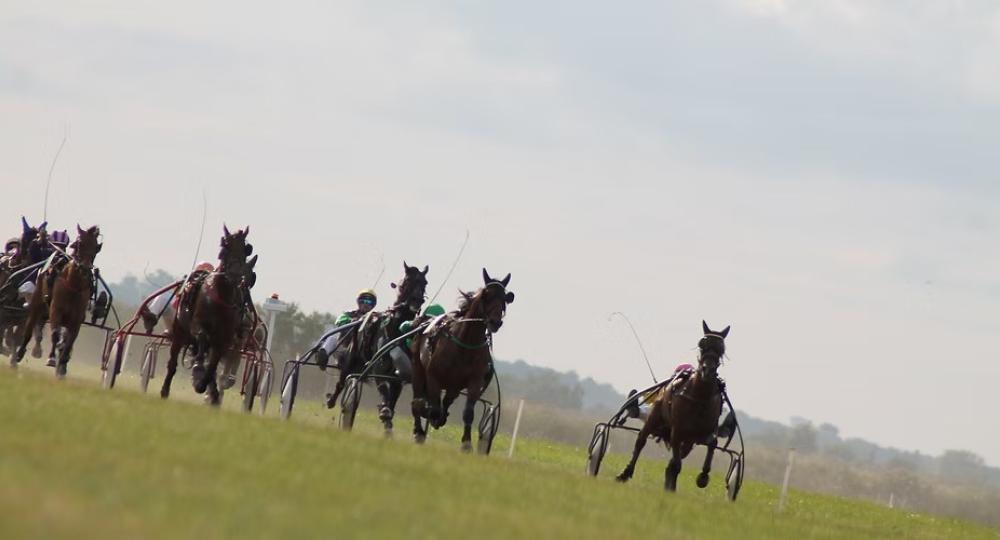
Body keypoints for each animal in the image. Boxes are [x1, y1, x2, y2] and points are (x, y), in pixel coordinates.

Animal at [11, 224, 102, 376]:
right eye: (79, 244)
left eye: (96, 247)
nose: (84, 268)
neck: (73, 285)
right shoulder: (56, 310)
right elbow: (54, 334)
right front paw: (52, 359)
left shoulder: (77, 318)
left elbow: (70, 340)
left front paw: (63, 364)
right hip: (37, 303)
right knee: (29, 326)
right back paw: (18, 354)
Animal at [324, 262, 426, 434]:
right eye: (407, 281)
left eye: (424, 283)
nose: (417, 300)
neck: (396, 331)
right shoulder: (379, 369)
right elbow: (384, 392)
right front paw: (384, 413)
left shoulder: (399, 376)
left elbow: (393, 400)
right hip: (350, 360)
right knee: (341, 382)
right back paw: (331, 401)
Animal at [410, 268, 516, 452]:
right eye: (486, 295)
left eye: (505, 298)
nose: (495, 322)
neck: (465, 344)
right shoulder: (433, 376)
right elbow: (431, 408)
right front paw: (428, 421)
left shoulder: (474, 381)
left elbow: (468, 413)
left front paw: (466, 444)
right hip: (418, 370)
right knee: (417, 401)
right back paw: (419, 429)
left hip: (454, 386)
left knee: (445, 401)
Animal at [612, 322, 732, 492]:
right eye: (701, 345)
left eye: (721, 348)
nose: (708, 370)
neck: (699, 398)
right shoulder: (678, 430)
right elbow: (676, 463)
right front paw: (671, 486)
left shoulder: (704, 432)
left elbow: (713, 443)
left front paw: (703, 476)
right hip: (655, 417)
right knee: (641, 440)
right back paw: (625, 473)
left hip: (689, 441)